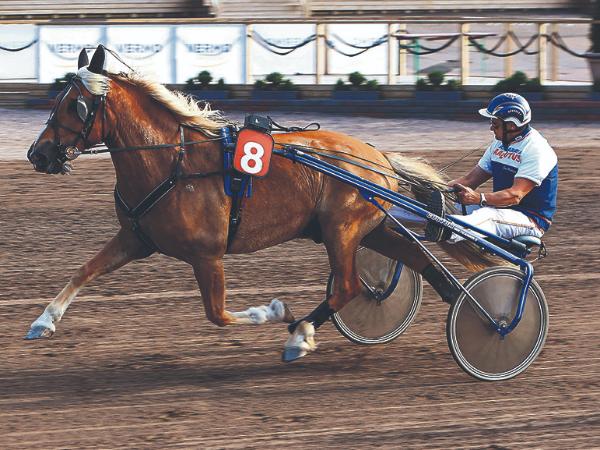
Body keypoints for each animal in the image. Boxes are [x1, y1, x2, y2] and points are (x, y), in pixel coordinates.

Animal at [26, 45, 492, 361]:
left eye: (75, 104)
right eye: (57, 100)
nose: (38, 154)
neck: (172, 162)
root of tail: (377, 156)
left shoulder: (207, 255)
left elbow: (218, 314)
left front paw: (274, 311)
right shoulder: (136, 238)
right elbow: (85, 270)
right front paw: (42, 321)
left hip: (342, 229)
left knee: (348, 285)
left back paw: (300, 335)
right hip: (372, 228)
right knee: (421, 266)